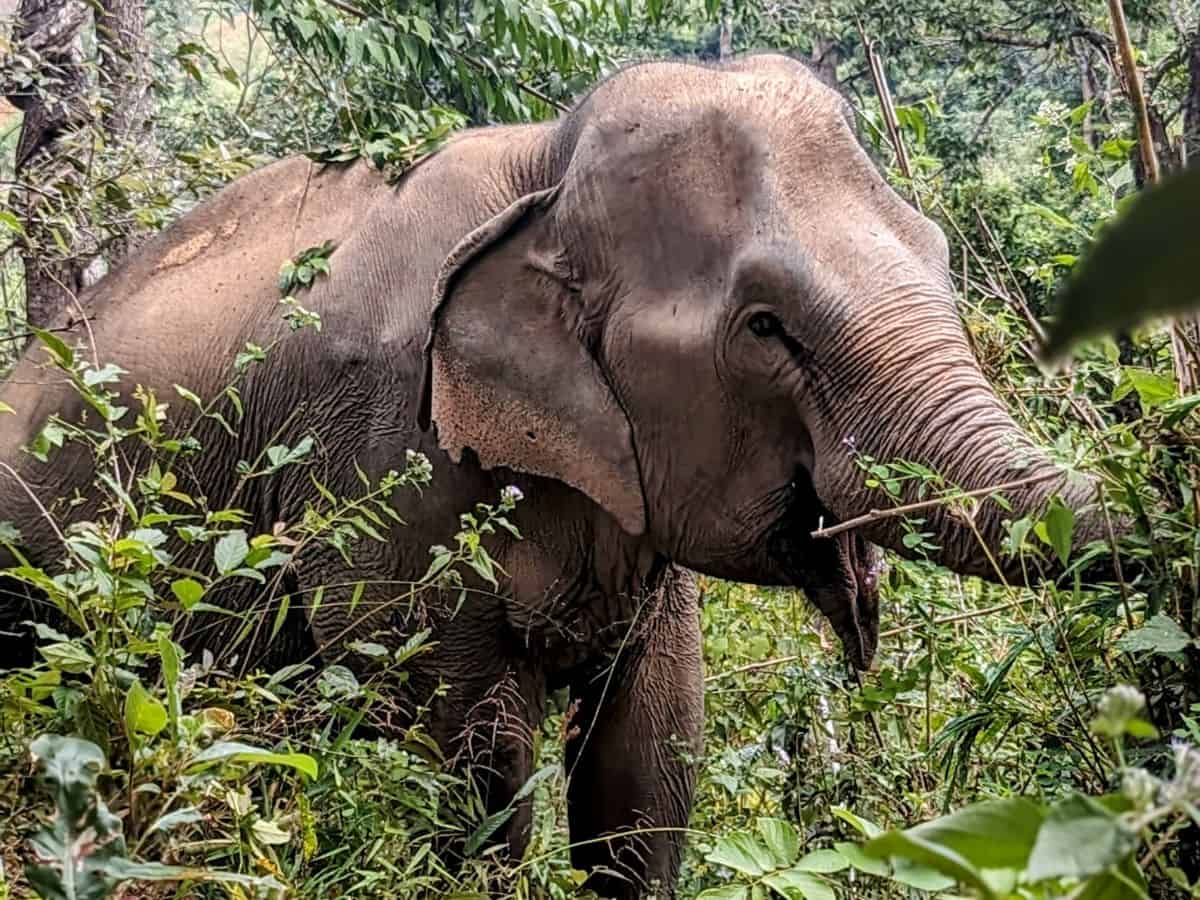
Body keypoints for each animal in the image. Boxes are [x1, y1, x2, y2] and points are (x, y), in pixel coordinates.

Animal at [4, 54, 1113, 897]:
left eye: (938, 252)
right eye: (765, 327)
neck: (543, 169)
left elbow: (649, 760)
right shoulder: (379, 461)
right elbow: (465, 764)